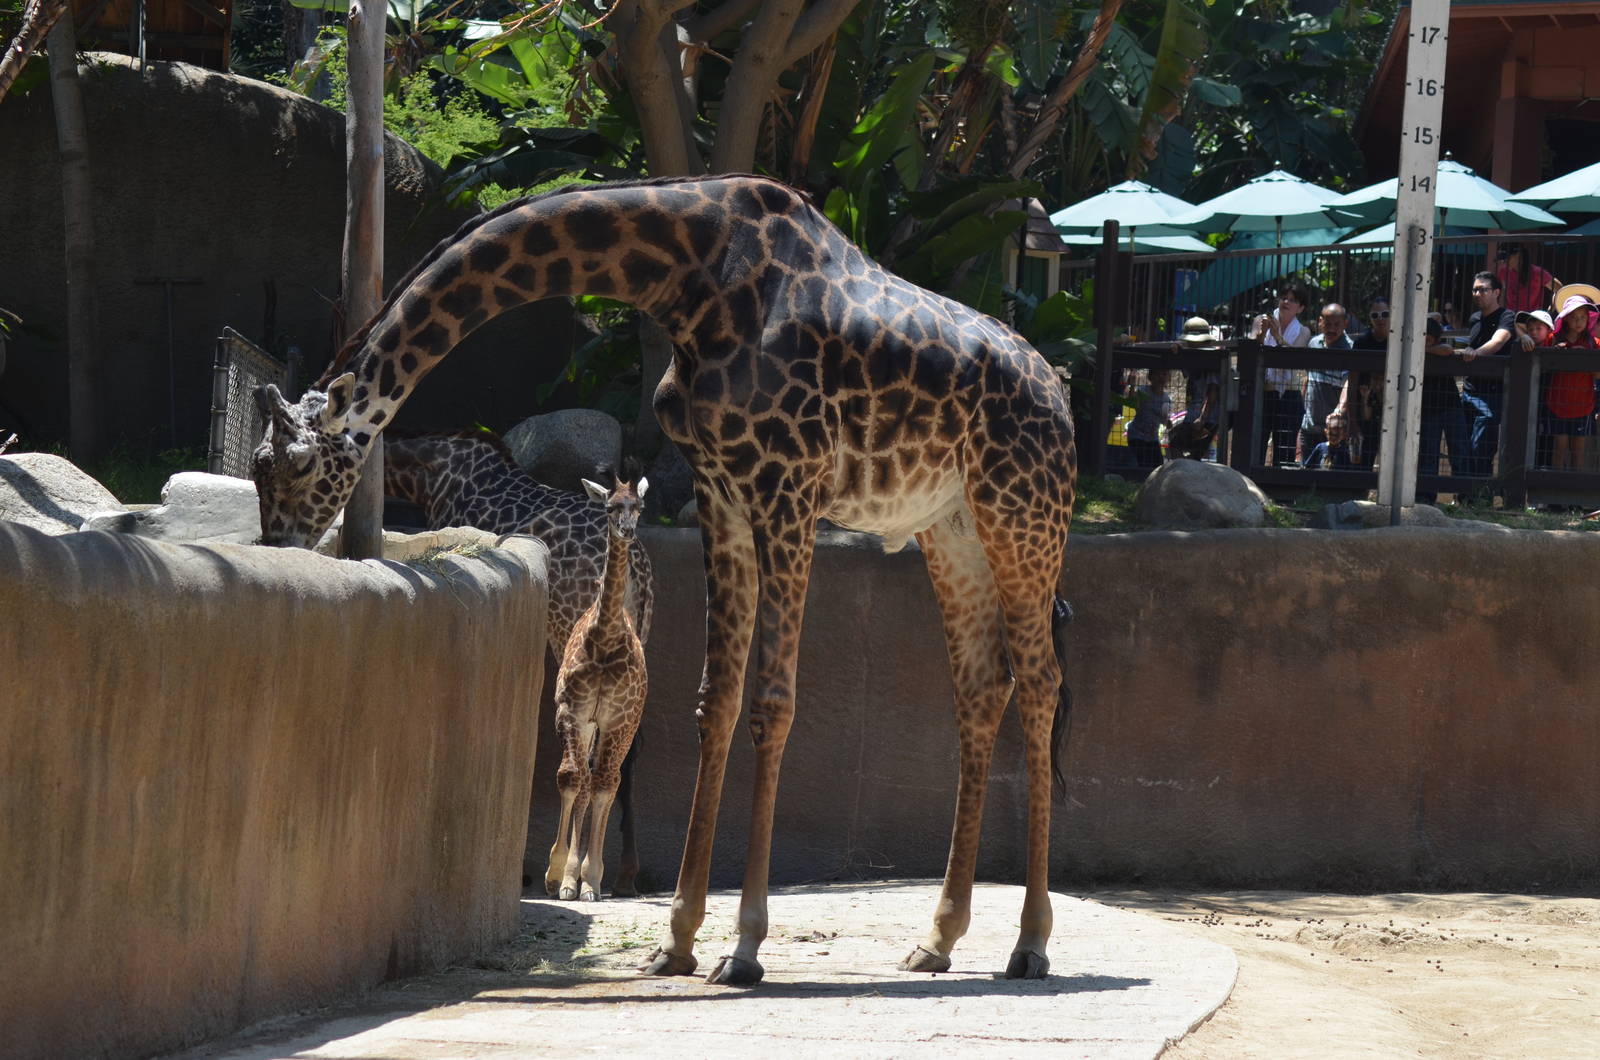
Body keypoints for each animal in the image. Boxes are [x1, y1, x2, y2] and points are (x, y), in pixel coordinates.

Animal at [381, 428, 652, 897]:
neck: (432, 471)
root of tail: (638, 565)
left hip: (568, 629)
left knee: (592, 765)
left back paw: (573, 872)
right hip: (642, 634)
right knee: (621, 760)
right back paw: (621, 874)